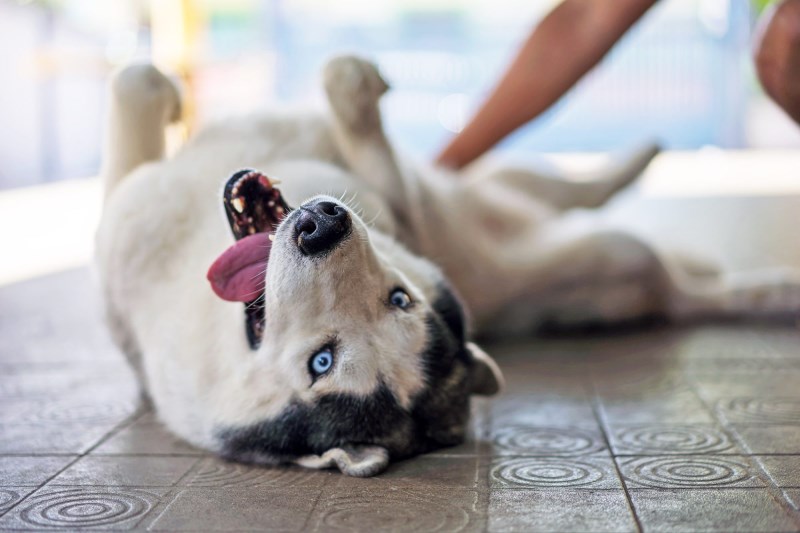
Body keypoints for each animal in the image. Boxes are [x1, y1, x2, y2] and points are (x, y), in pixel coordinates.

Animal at [97, 56, 800, 476]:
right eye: (322, 361)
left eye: (398, 299)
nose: (323, 222)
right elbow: (133, 85)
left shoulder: (400, 204)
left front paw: (350, 96)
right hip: (559, 219)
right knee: (582, 208)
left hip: (598, 243)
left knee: (666, 271)